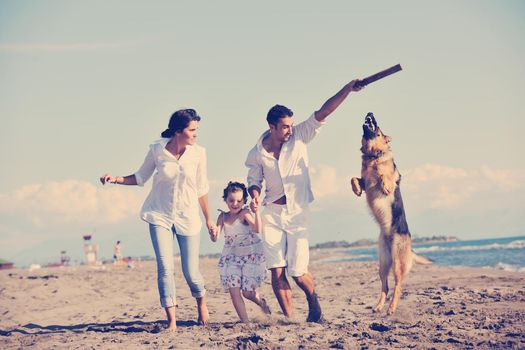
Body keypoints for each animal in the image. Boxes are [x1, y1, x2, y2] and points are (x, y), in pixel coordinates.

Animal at [352, 113, 430, 316]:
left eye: (378, 130)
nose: (370, 113)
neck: (372, 155)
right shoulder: (364, 180)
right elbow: (354, 178)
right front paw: (356, 189)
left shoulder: (386, 176)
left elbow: (384, 175)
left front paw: (384, 179)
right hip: (383, 263)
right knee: (385, 287)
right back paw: (379, 306)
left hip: (397, 263)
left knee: (398, 287)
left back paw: (391, 308)